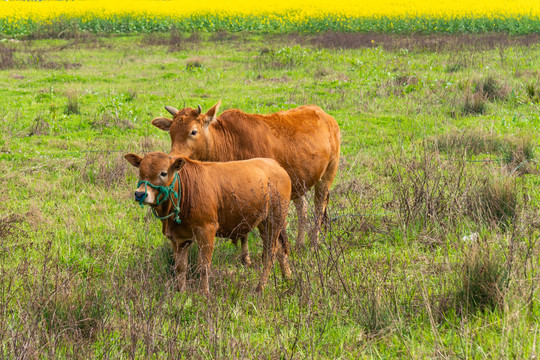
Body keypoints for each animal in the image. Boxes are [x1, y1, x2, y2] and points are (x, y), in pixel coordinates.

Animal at [124, 152, 294, 296]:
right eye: (140, 172)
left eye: (163, 173)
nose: (140, 194)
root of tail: (275, 165)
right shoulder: (179, 238)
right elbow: (180, 267)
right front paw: (181, 292)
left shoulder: (206, 231)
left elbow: (203, 267)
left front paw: (204, 294)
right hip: (264, 223)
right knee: (280, 249)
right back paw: (287, 278)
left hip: (275, 220)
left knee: (270, 254)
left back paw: (260, 287)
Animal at [151, 101, 338, 248]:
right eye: (171, 132)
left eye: (193, 131)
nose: (174, 158)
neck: (229, 142)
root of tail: (325, 116)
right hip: (297, 184)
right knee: (303, 209)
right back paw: (300, 243)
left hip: (327, 176)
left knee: (319, 207)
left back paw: (313, 243)